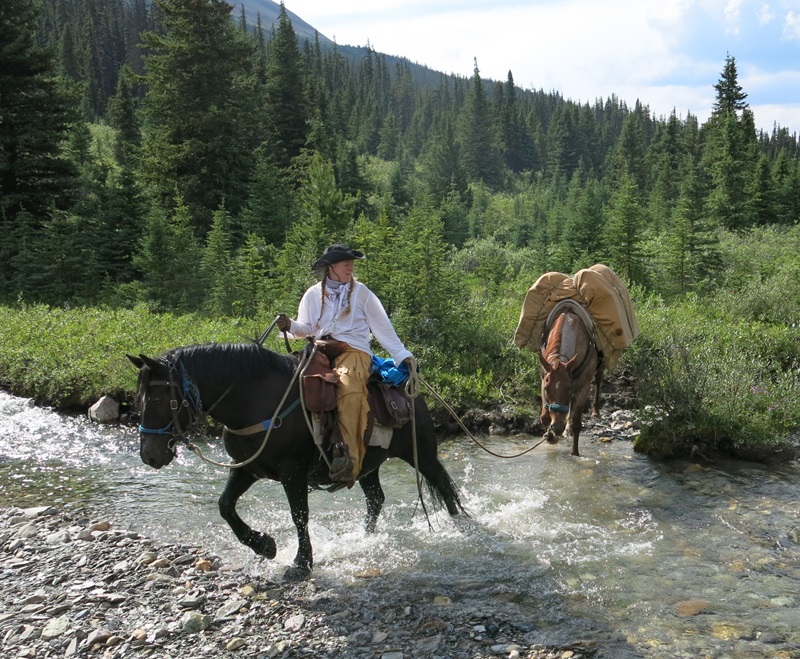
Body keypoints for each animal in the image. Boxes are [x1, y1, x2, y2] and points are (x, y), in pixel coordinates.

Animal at [127, 342, 465, 581]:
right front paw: (264, 545)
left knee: (444, 487)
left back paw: (460, 528)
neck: (257, 401)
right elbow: (225, 506)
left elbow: (299, 516)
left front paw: (301, 564)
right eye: (139, 399)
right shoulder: (247, 467)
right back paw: (364, 537)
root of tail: (408, 384)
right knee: (376, 499)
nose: (149, 455)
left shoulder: (293, 473)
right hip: (367, 463)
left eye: (157, 399)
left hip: (421, 454)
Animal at [539, 307, 603, 457]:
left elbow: (577, 423)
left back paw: (595, 411)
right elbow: (545, 417)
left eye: (568, 387)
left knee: (598, 380)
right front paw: (550, 437)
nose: (557, 427)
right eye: (546, 388)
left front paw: (575, 453)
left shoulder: (582, 388)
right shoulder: (543, 379)